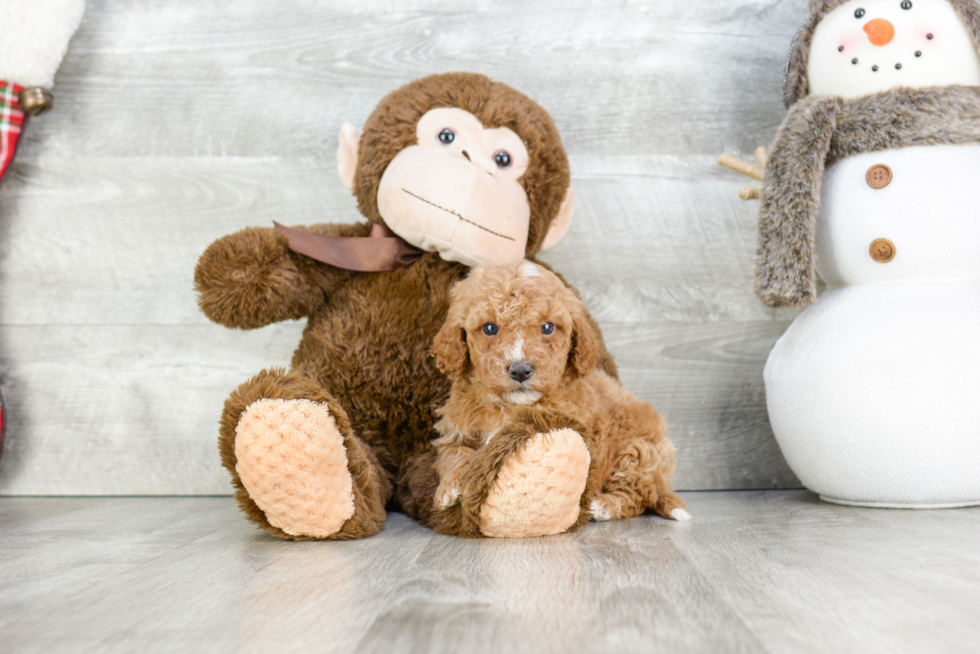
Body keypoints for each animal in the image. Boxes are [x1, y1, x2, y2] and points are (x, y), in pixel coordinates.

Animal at [432, 262, 692, 528]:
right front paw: (448, 489)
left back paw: (602, 506)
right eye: (490, 328)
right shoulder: (456, 430)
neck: (509, 405)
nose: (520, 370)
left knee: (639, 492)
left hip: (639, 452)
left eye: (547, 327)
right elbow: (453, 455)